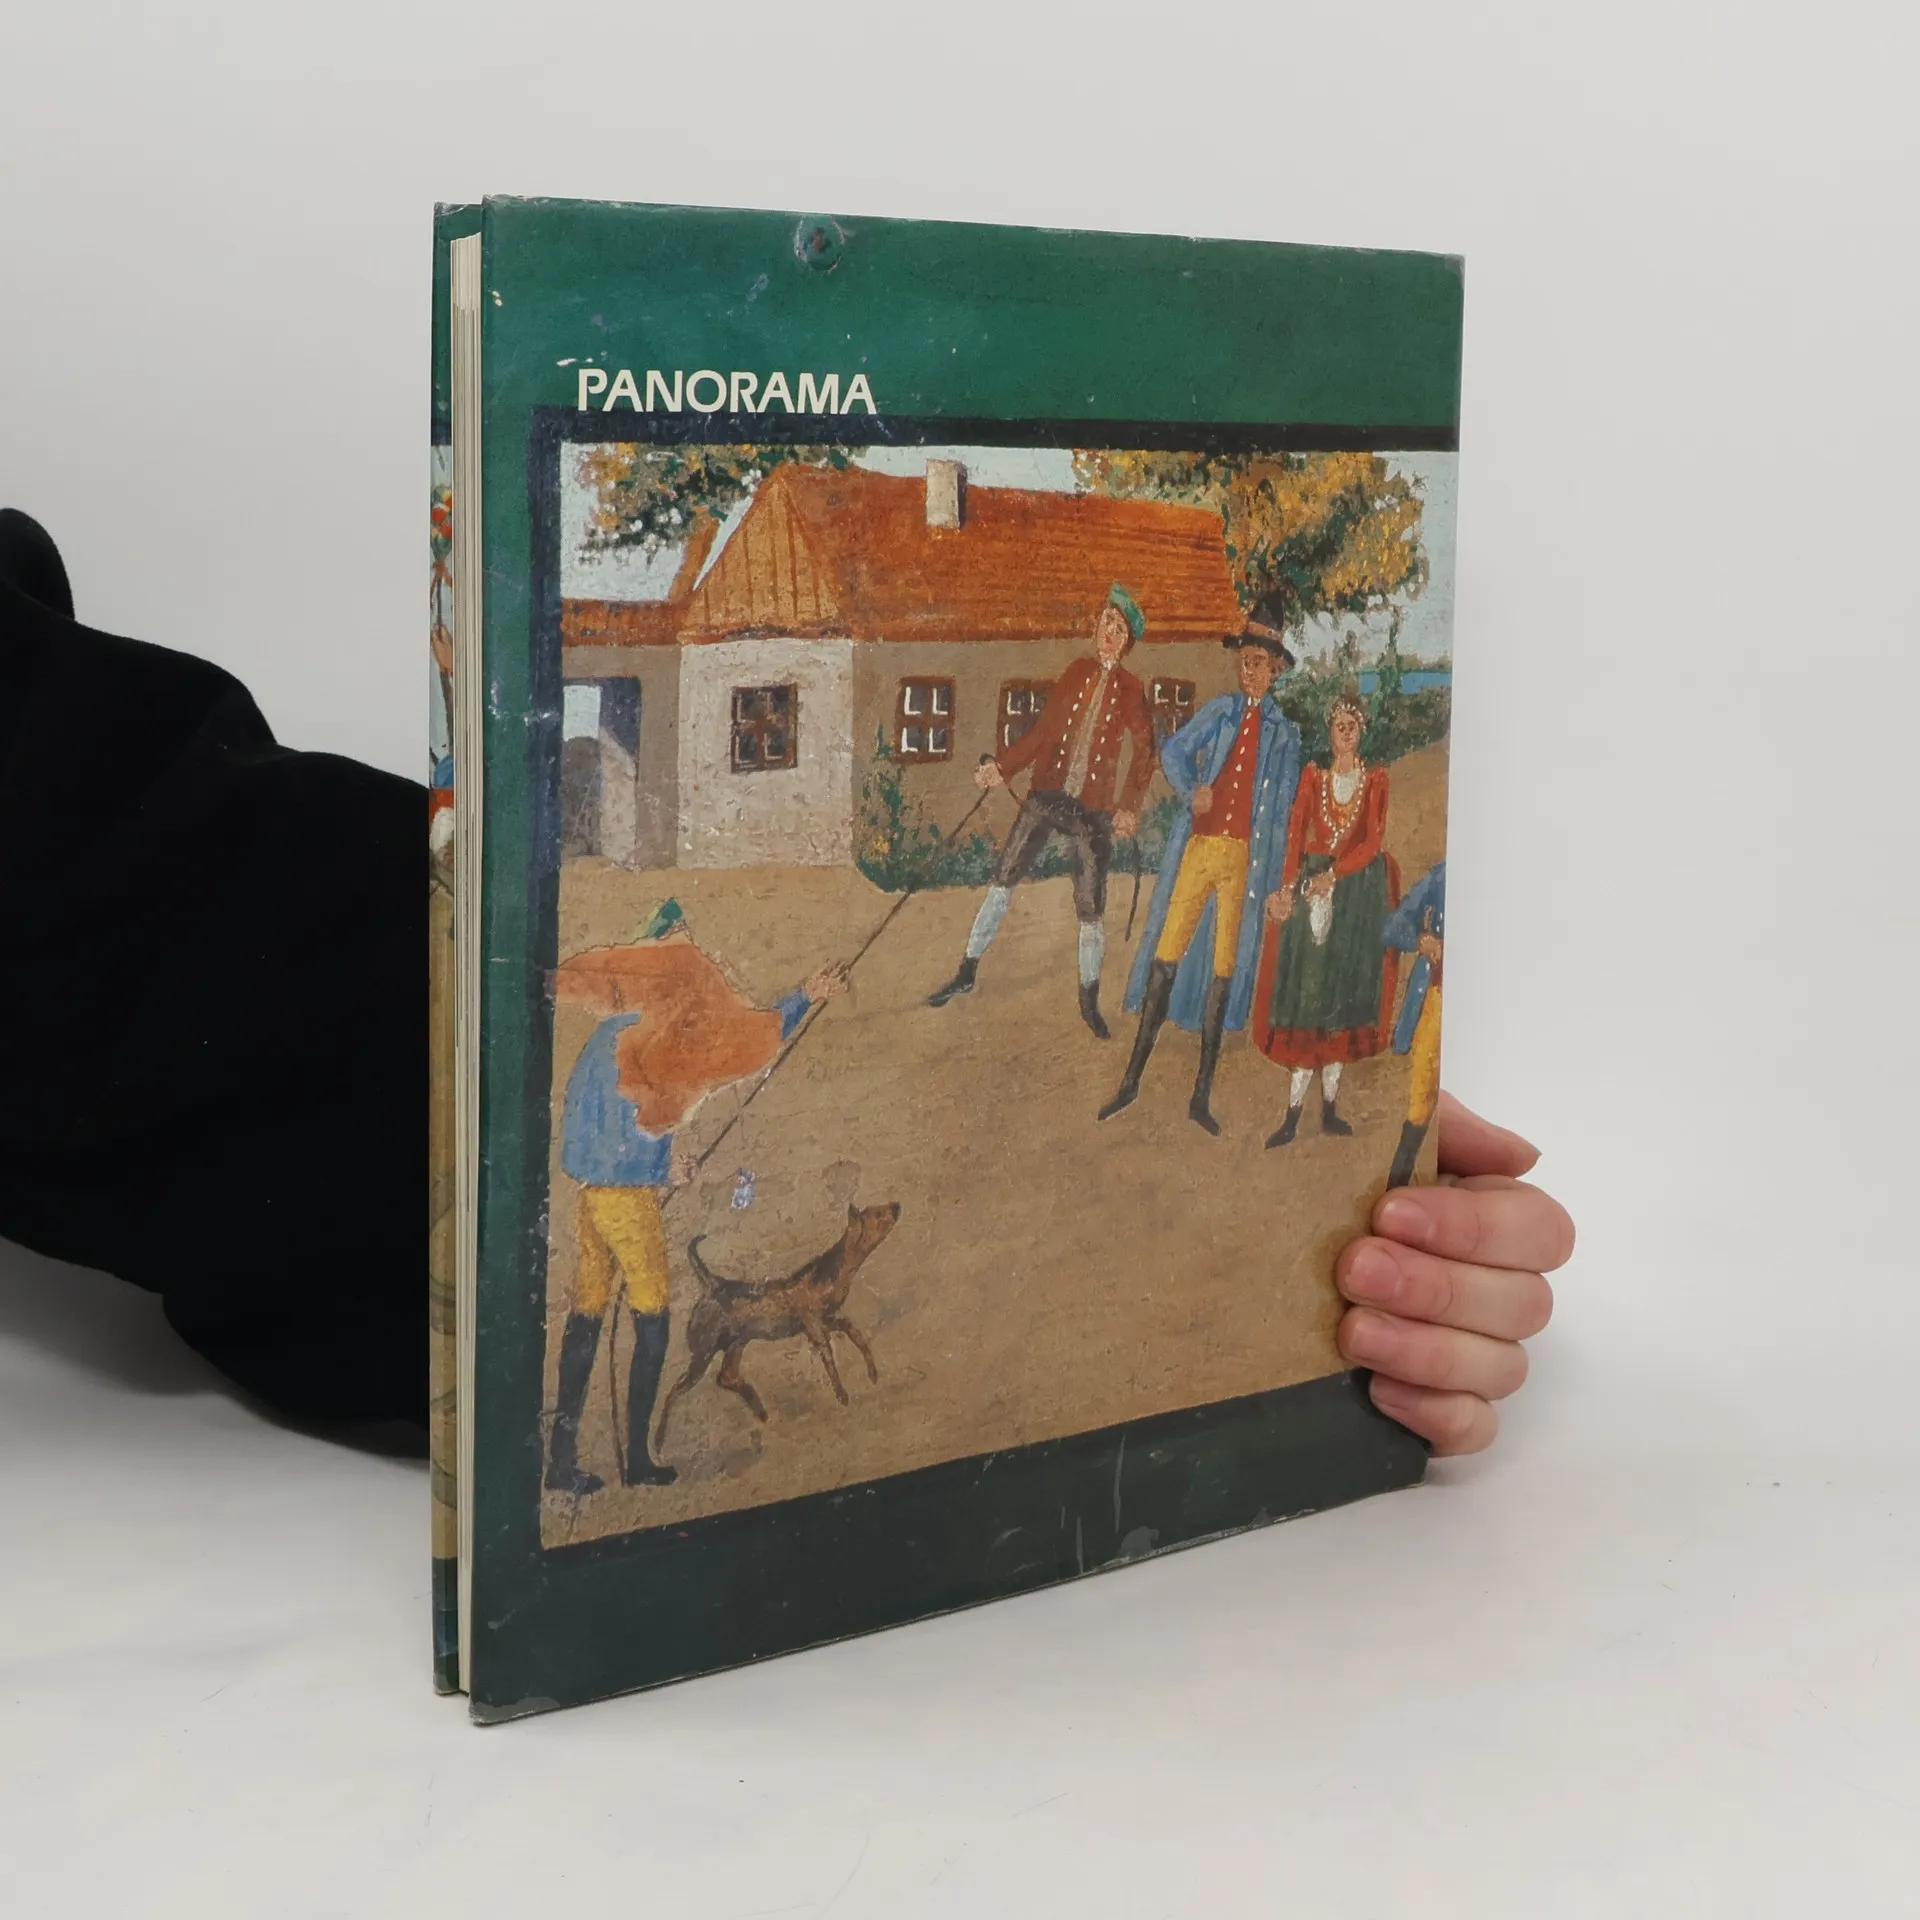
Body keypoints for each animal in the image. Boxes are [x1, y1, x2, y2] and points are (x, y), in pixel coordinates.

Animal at [652, 1200, 902, 1450]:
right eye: (878, 1214)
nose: (896, 1205)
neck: (832, 1271)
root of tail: (711, 1284)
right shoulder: (814, 1324)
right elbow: (829, 1356)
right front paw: (842, 1394)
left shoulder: (827, 1319)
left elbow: (854, 1332)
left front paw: (872, 1373)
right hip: (704, 1351)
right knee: (676, 1389)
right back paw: (659, 1439)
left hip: (736, 1345)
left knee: (726, 1377)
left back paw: (760, 1409)